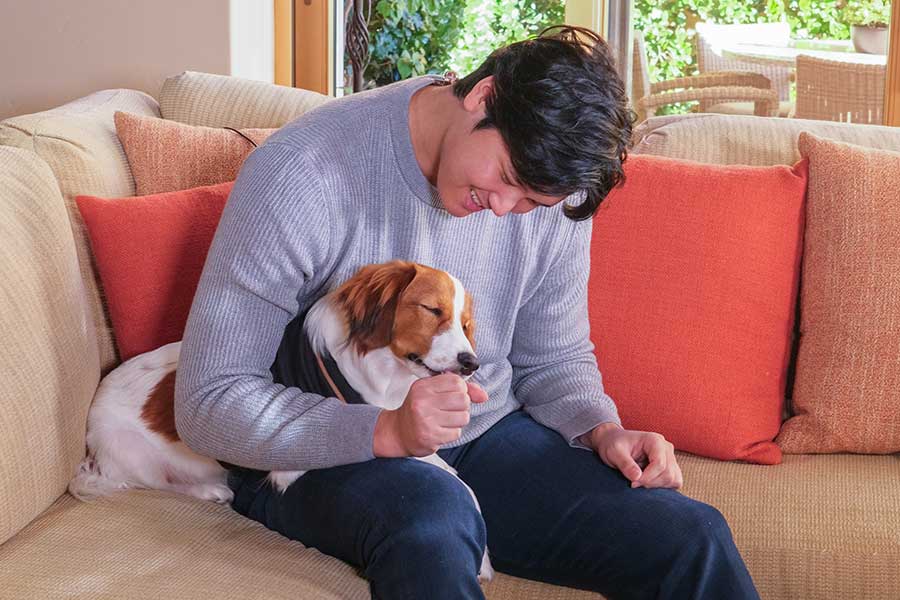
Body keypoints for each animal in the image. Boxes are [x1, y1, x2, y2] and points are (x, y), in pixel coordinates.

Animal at [67, 260, 496, 580]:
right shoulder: (301, 460)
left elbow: (457, 476)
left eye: (464, 324)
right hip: (134, 453)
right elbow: (449, 478)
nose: (471, 364)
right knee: (156, 483)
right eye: (432, 310)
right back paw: (210, 491)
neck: (378, 372)